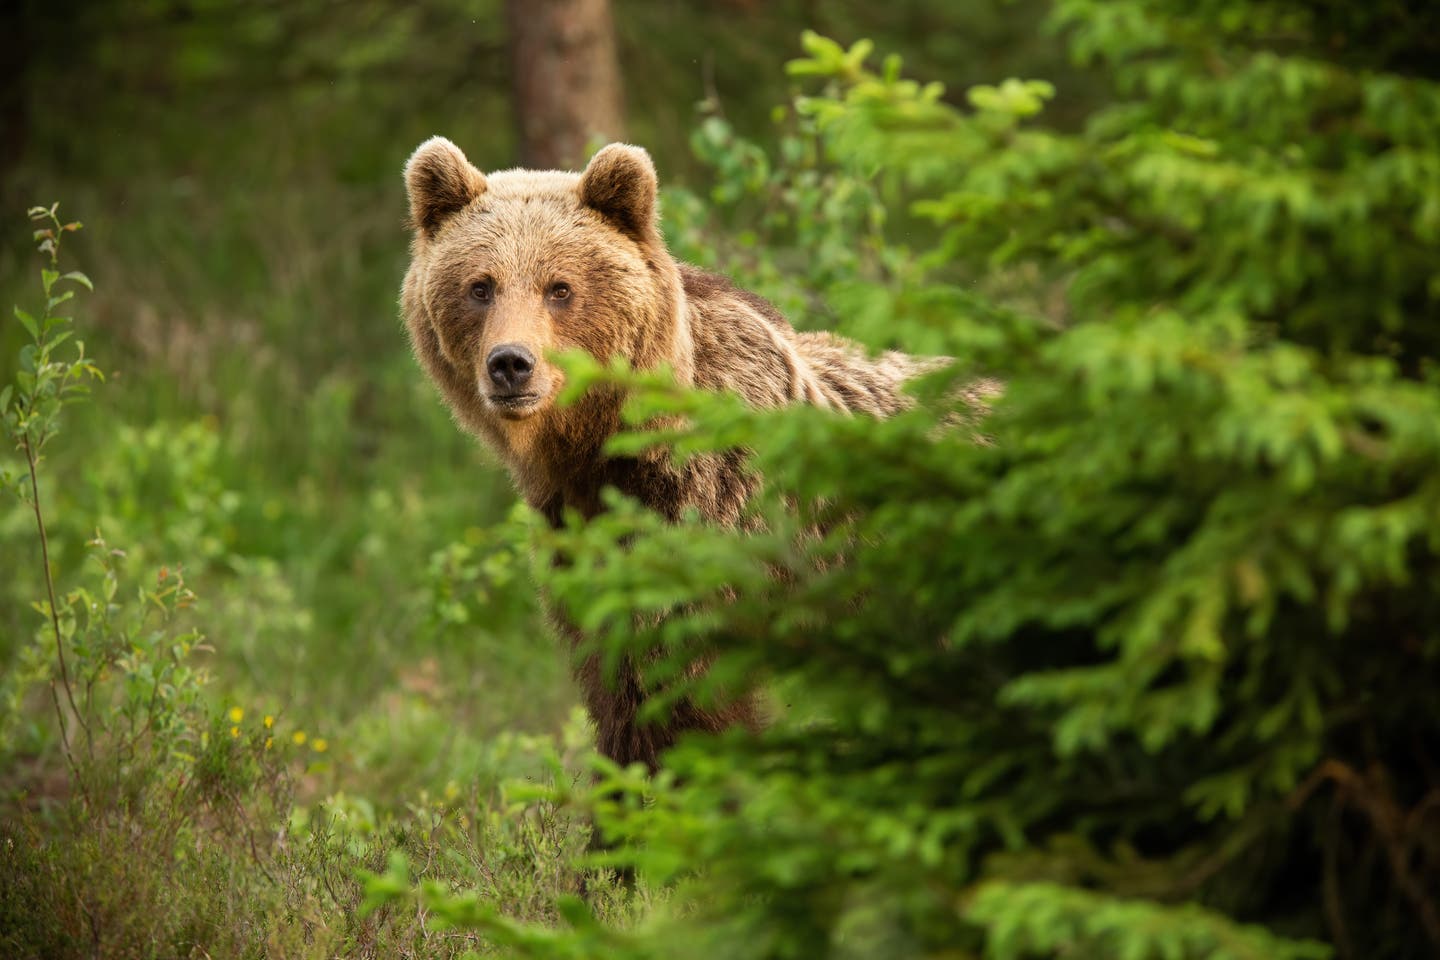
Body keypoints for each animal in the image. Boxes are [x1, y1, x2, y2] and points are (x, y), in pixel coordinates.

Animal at [400, 135, 938, 771]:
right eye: (480, 286)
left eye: (560, 287)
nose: (510, 364)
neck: (605, 445)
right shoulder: (580, 532)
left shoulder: (710, 516)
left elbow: (675, 687)